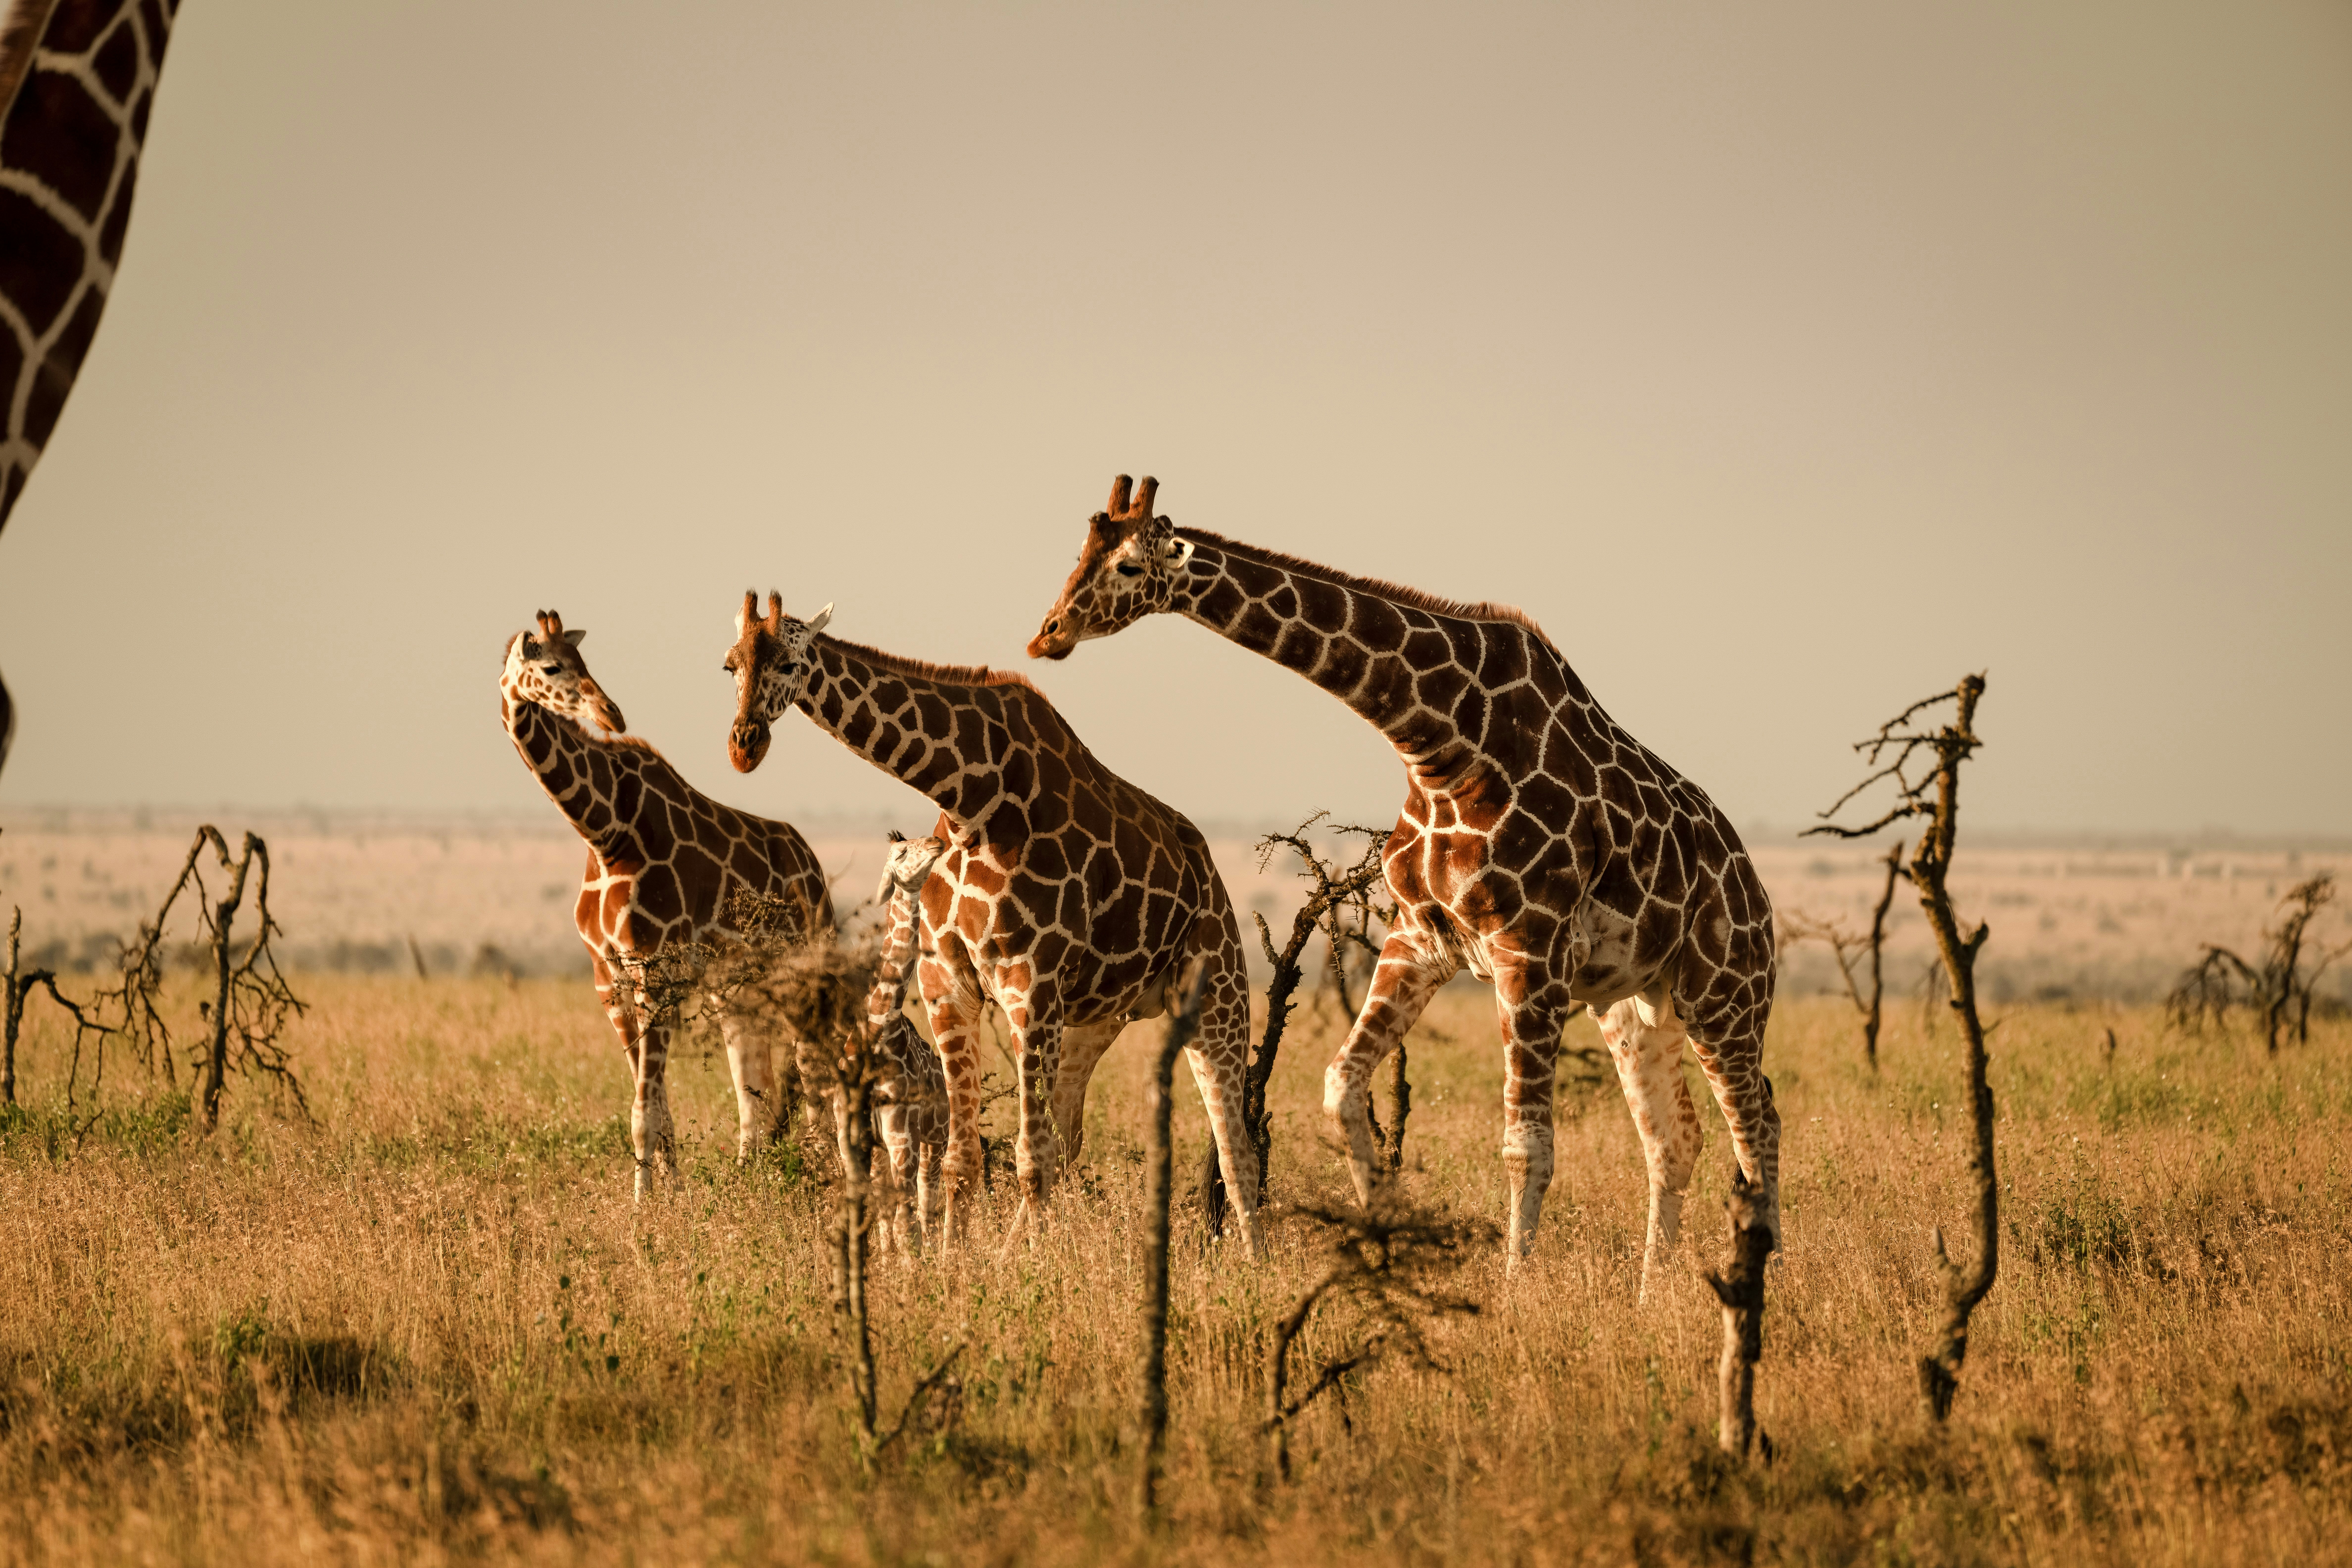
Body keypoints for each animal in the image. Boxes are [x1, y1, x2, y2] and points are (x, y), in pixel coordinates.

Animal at [499, 609, 835, 1199]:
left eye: (582, 660)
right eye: (551, 666)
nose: (610, 713)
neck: (605, 832)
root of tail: (813, 867)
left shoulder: (655, 969)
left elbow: (644, 1109)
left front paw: (644, 1206)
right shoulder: (609, 977)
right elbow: (656, 1102)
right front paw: (670, 1192)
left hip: (801, 971)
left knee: (812, 1075)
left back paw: (824, 1175)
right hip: (736, 990)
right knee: (755, 1087)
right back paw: (753, 1176)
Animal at [721, 591, 1265, 1256]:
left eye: (791, 662)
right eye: (730, 665)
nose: (744, 746)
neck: (970, 798)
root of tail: (1208, 868)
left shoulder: (1030, 982)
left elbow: (1028, 1156)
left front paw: (1033, 1266)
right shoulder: (948, 983)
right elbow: (965, 1157)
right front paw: (956, 1262)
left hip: (1217, 988)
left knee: (1233, 1148)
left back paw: (1254, 1261)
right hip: (1095, 1018)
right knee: (1070, 1140)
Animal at [1028, 477, 1780, 1286]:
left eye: (1129, 567)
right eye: (1079, 554)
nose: (1047, 634)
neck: (1442, 744)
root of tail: (1756, 889)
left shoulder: (1529, 949)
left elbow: (1526, 1144)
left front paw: (1514, 1289)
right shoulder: (1422, 936)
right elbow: (1341, 1088)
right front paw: (1382, 1232)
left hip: (1722, 991)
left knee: (1758, 1119)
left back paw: (1759, 1272)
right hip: (1633, 1002)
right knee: (1675, 1137)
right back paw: (1648, 1294)